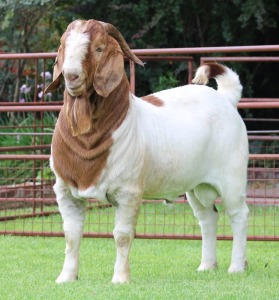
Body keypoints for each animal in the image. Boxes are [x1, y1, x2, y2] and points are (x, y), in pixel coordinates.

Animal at [45, 19, 249, 284]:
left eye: (99, 48)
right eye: (63, 46)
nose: (71, 75)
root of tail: (226, 98)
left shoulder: (128, 192)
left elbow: (122, 235)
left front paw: (120, 279)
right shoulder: (65, 190)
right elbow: (71, 235)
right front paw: (66, 277)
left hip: (232, 178)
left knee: (238, 215)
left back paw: (236, 267)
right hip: (196, 186)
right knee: (208, 218)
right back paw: (207, 266)